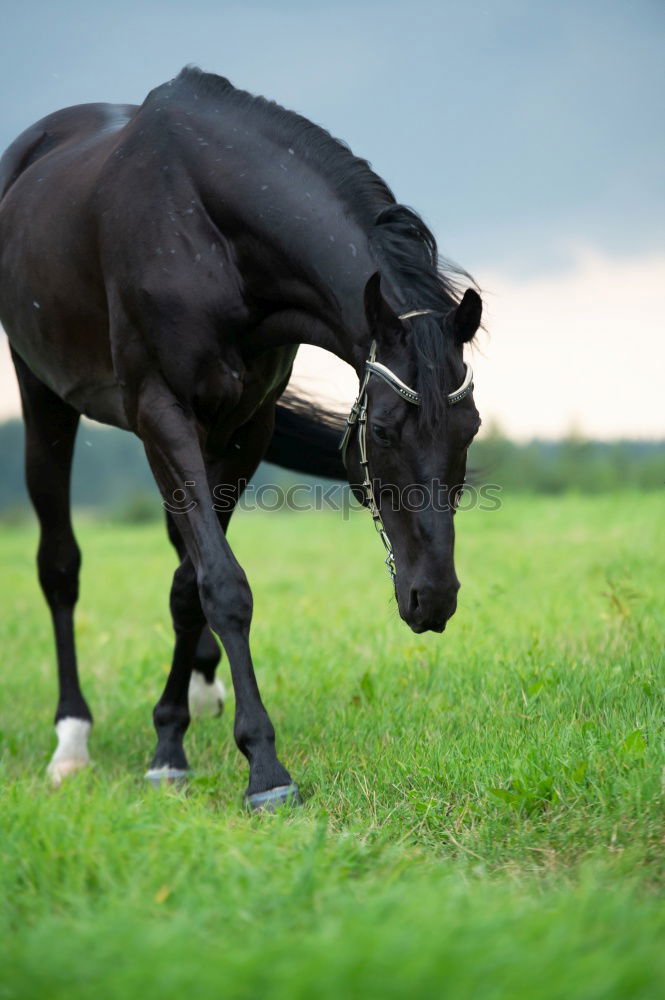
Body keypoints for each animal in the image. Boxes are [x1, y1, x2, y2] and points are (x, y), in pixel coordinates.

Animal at [0, 68, 482, 804]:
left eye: (471, 427)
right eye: (382, 430)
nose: (433, 599)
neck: (203, 231)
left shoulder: (246, 425)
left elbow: (187, 583)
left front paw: (169, 741)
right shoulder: (161, 412)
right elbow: (223, 585)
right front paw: (264, 769)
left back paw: (199, 691)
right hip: (44, 396)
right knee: (59, 566)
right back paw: (71, 741)